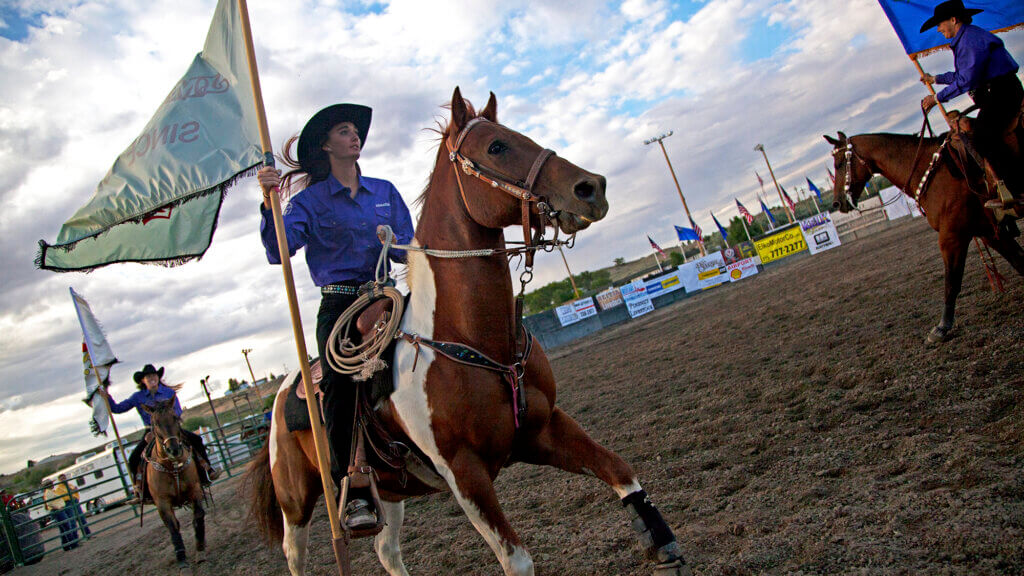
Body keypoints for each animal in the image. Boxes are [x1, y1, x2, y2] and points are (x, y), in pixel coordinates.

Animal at [143, 397, 206, 569]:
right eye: (155, 423)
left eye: (175, 418)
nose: (174, 450)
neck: (172, 467)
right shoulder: (162, 502)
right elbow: (173, 527)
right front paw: (181, 558)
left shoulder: (195, 490)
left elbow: (198, 516)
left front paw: (200, 549)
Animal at [246, 86, 692, 573]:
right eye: (496, 146)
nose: (591, 187)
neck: (475, 340)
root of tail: (283, 393)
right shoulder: (465, 474)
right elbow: (517, 560)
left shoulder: (545, 430)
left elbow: (620, 471)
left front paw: (663, 545)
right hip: (298, 500)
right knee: (297, 555)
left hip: (389, 489)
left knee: (387, 549)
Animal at [823, 129, 1024, 340]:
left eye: (839, 164)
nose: (837, 202)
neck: (933, 173)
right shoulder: (989, 232)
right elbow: (1019, 260)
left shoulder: (951, 238)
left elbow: (951, 282)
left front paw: (942, 327)